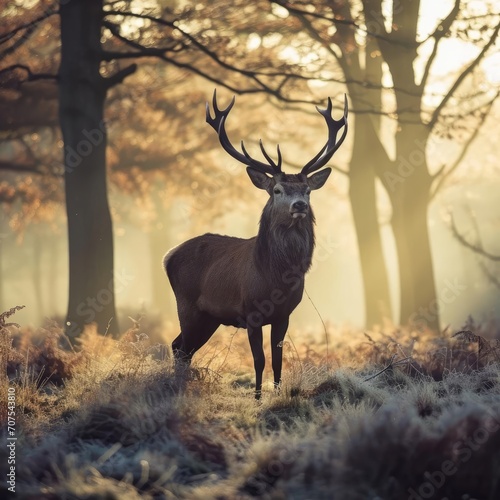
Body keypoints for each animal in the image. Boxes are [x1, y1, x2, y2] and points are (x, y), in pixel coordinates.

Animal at [164, 91, 348, 398]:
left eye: (307, 190)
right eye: (277, 190)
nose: (299, 205)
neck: (276, 277)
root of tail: (168, 255)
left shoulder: (285, 314)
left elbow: (277, 359)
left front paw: (277, 394)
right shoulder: (250, 311)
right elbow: (259, 360)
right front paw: (258, 398)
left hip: (209, 316)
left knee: (181, 346)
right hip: (187, 303)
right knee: (180, 347)